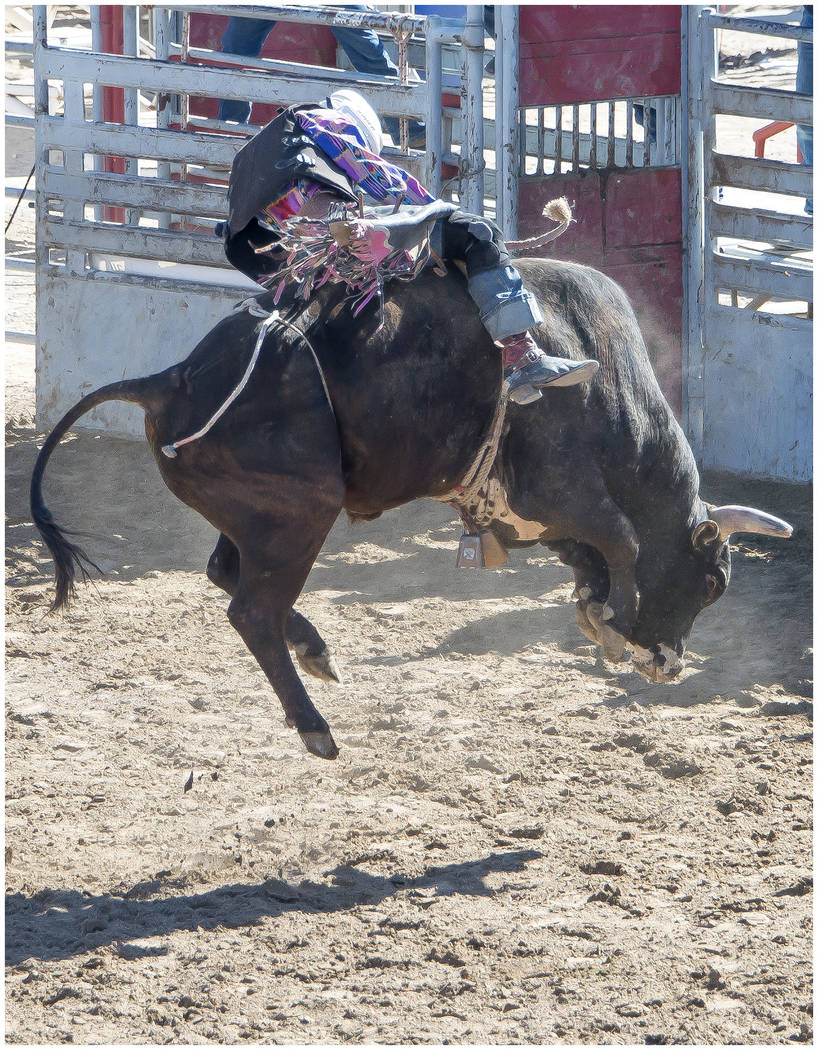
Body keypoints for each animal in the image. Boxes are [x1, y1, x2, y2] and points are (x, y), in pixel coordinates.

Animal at [30, 258, 793, 760]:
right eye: (712, 582)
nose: (670, 667)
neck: (592, 366)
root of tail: (174, 378)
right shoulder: (564, 493)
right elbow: (625, 543)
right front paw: (612, 622)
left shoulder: (539, 518)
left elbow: (597, 561)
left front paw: (598, 615)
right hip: (299, 518)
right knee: (251, 611)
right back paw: (315, 724)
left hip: (253, 518)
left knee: (227, 573)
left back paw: (315, 651)